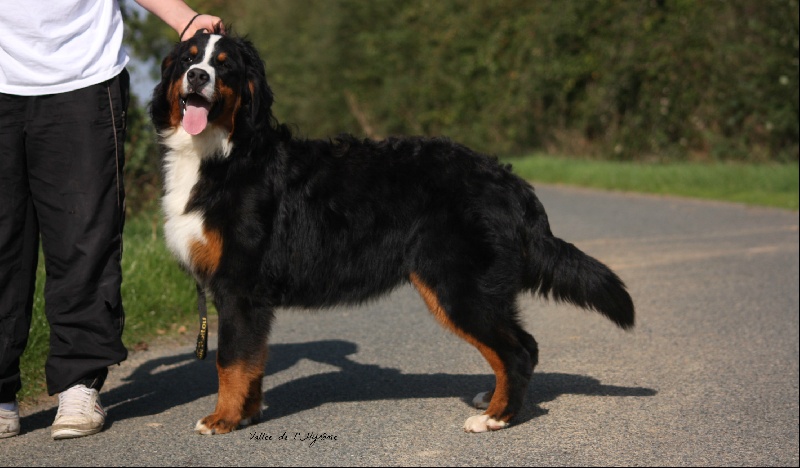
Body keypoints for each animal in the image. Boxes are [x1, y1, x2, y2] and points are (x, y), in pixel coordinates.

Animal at [152, 32, 636, 436]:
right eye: (188, 59)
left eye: (225, 66)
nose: (198, 76)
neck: (225, 154)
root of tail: (508, 180)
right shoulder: (246, 297)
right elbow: (251, 362)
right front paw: (247, 415)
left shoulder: (239, 287)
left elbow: (230, 362)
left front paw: (222, 419)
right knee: (513, 348)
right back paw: (492, 401)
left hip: (458, 288)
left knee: (520, 350)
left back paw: (496, 417)